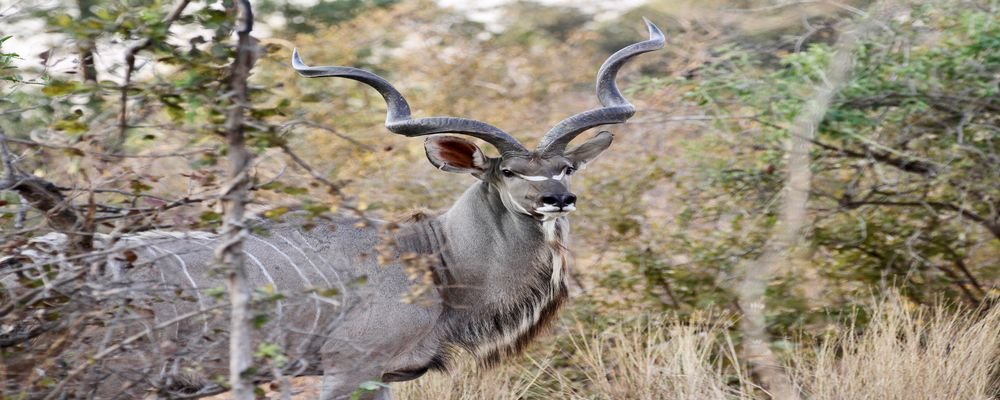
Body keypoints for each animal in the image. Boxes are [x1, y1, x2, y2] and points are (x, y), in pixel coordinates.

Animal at [3, 18, 668, 396]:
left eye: (567, 167)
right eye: (507, 171)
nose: (558, 198)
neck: (436, 262)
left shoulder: (384, 377)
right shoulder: (343, 369)